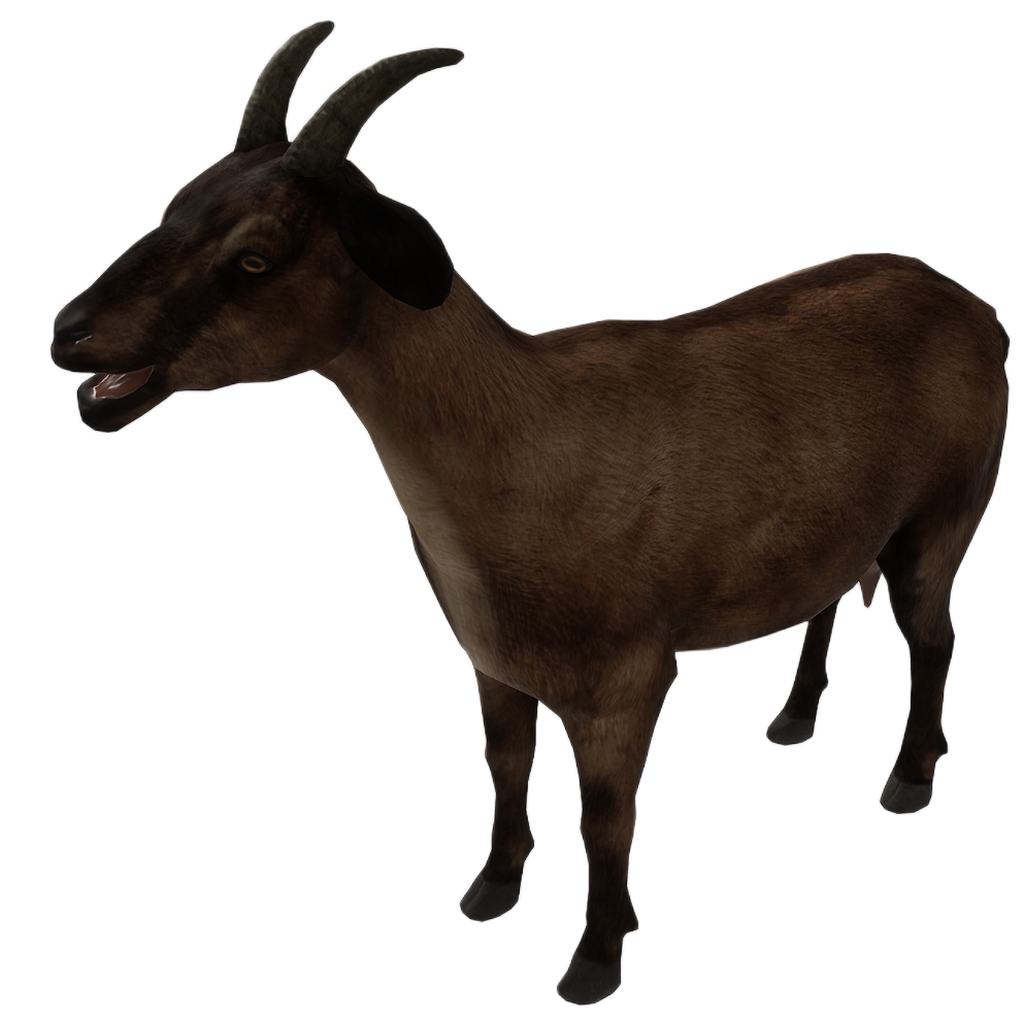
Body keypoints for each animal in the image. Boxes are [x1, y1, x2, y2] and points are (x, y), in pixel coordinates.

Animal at [49, 21, 1011, 1006]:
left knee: (933, 636)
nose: (68, 334)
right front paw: (491, 889)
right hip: (838, 526)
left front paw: (596, 956)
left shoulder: (625, 679)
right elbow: (505, 768)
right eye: (176, 203)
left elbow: (607, 817)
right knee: (828, 598)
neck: (522, 444)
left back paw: (908, 780)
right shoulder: (493, 660)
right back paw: (795, 717)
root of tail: (971, 303)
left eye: (254, 257)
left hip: (945, 517)